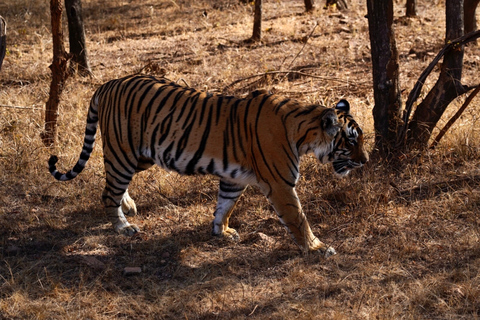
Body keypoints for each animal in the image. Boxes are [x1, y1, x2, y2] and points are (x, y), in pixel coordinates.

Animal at [48, 73, 368, 258]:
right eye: (351, 141)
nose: (365, 161)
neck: (304, 133)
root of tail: (108, 84)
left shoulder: (235, 178)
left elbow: (224, 205)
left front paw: (221, 232)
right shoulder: (280, 184)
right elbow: (298, 219)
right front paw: (317, 248)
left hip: (140, 156)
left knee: (113, 183)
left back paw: (128, 206)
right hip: (124, 152)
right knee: (108, 193)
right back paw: (123, 226)